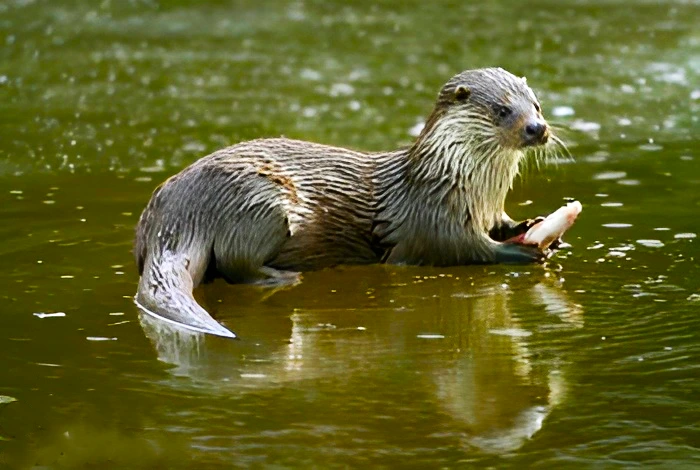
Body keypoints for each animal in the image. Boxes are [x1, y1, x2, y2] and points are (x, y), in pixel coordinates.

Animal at [135, 67, 568, 338]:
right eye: (502, 109)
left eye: (537, 105)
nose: (538, 128)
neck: (464, 184)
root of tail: (172, 216)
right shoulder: (431, 217)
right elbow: (463, 248)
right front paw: (522, 252)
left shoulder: (487, 210)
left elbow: (501, 225)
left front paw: (535, 227)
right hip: (261, 200)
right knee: (236, 262)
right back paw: (282, 278)